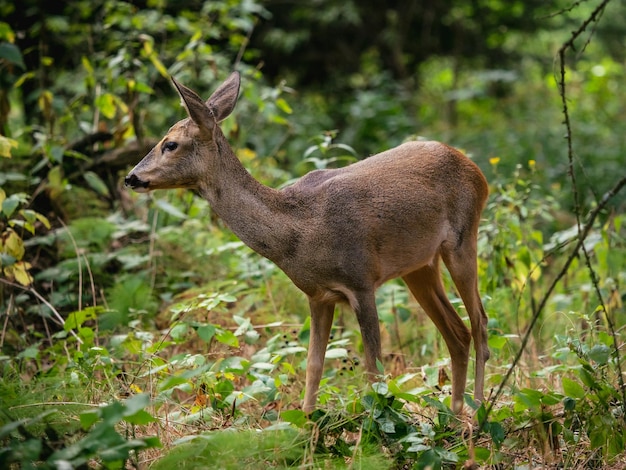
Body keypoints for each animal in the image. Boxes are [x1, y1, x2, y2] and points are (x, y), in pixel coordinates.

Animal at [125, 71, 488, 414]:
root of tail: (475, 169)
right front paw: (308, 426)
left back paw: (478, 410)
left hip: (463, 239)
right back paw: (455, 415)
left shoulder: (361, 280)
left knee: (480, 323)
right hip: (419, 264)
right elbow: (314, 366)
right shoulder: (318, 294)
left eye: (170, 144)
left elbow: (374, 370)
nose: (130, 177)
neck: (297, 232)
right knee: (457, 333)